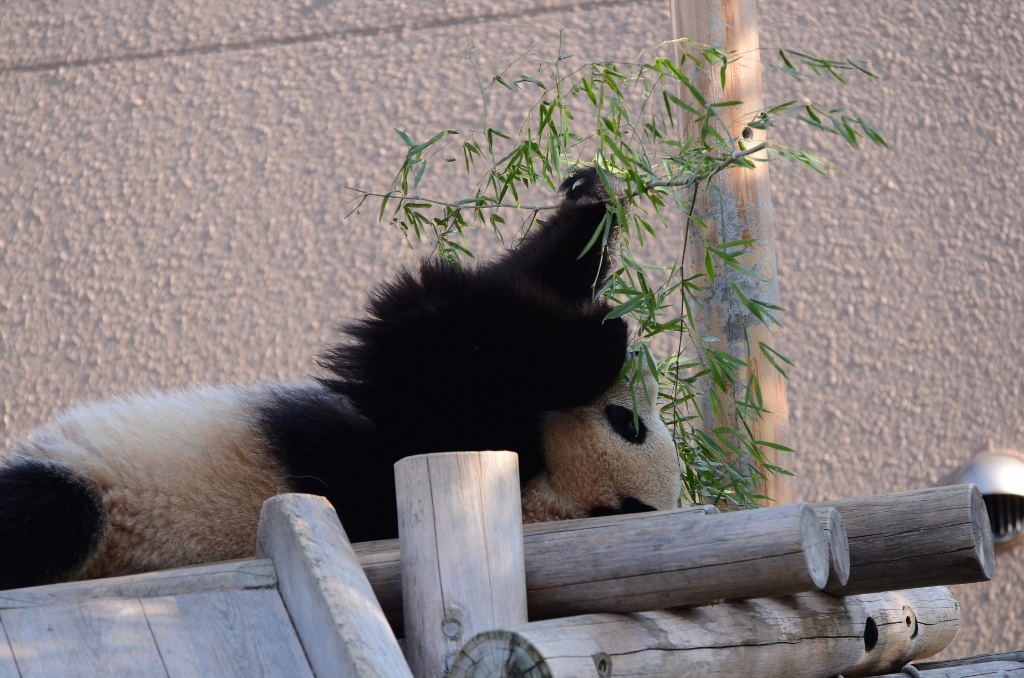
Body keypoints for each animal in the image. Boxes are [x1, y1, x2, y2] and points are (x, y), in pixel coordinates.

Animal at [2, 166, 688, 594]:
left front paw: (601, 335)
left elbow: (427, 335)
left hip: (93, 501)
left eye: (628, 425)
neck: (533, 496)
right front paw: (590, 203)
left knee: (47, 512)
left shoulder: (406, 451)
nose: (646, 372)